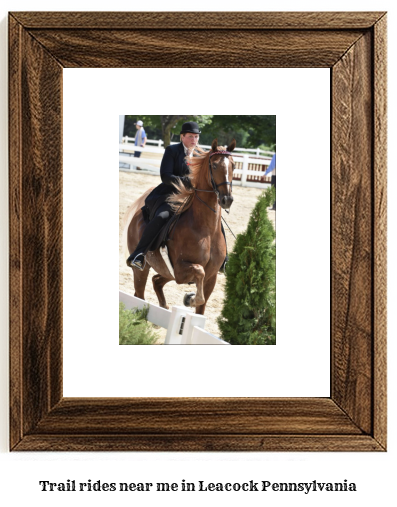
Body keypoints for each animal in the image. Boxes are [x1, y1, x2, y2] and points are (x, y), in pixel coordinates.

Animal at [122, 139, 235, 314]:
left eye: (233, 166)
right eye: (214, 166)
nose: (227, 199)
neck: (206, 230)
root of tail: (139, 214)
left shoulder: (212, 277)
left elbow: (201, 306)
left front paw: (191, 299)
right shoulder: (181, 270)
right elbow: (199, 272)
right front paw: (190, 298)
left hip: (167, 272)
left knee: (156, 280)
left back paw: (164, 306)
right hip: (142, 269)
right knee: (139, 293)